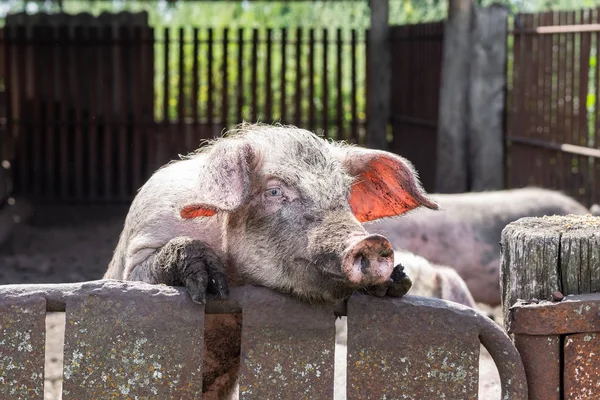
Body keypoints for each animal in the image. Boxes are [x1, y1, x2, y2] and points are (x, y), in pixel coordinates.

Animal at [105, 123, 438, 398]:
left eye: (344, 193)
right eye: (275, 191)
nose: (371, 242)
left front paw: (396, 282)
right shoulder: (140, 248)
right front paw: (212, 286)